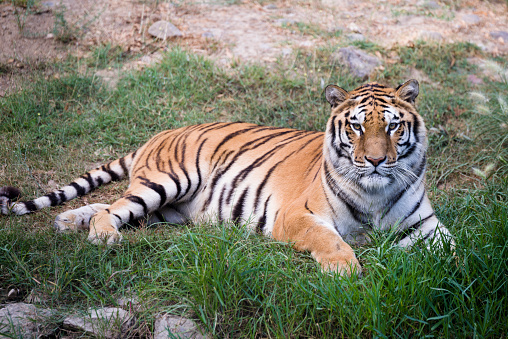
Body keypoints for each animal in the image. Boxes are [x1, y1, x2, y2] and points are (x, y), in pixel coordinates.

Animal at [0, 79, 452, 276]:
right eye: (357, 127)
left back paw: (68, 221)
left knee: (109, 204)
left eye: (393, 126)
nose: (375, 161)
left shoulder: (427, 225)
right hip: (167, 182)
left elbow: (453, 250)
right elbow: (329, 239)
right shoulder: (297, 215)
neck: (375, 193)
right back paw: (101, 236)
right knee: (113, 209)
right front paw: (344, 268)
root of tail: (161, 133)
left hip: (167, 209)